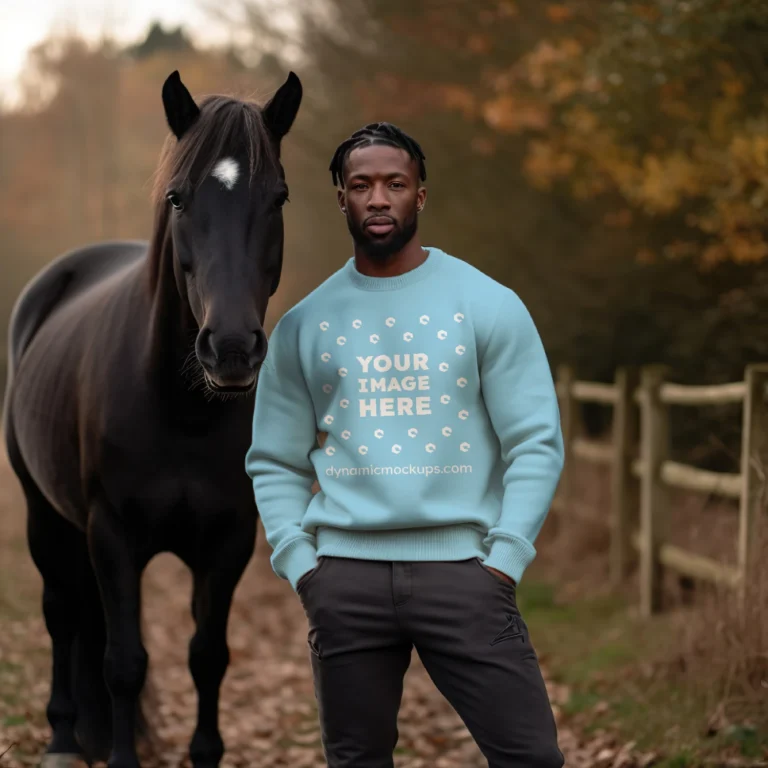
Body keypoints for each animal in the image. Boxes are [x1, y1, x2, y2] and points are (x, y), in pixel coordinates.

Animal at [3, 69, 304, 764]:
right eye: (177, 197)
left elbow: (207, 657)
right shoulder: (112, 535)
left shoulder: (228, 542)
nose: (231, 347)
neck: (180, 411)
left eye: (278, 198)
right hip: (44, 516)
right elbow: (124, 663)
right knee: (63, 614)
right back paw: (63, 738)